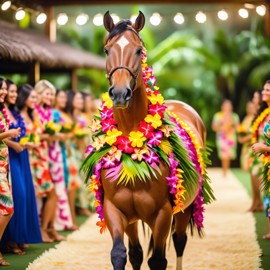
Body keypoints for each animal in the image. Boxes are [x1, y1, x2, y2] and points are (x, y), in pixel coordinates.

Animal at [81, 11, 214, 270]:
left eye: (138, 50)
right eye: (106, 50)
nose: (120, 93)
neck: (134, 148)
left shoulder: (162, 214)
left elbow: (158, 260)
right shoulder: (115, 211)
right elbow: (123, 254)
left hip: (185, 208)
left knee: (179, 241)